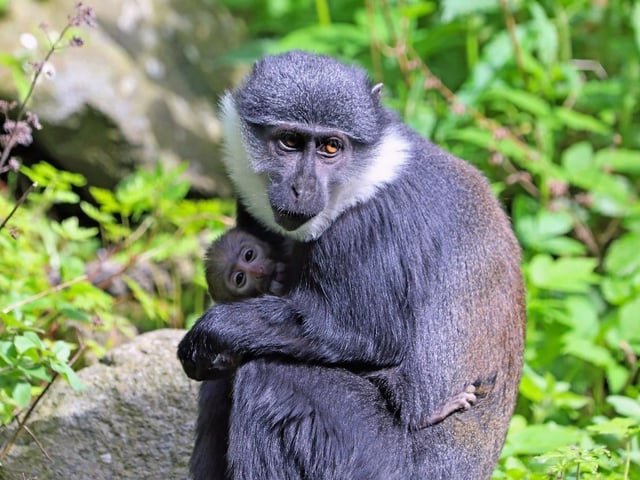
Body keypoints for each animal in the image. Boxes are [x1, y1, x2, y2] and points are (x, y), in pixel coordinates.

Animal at [178, 51, 525, 479]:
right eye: (289, 141)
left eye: (331, 147)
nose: (301, 188)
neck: (368, 170)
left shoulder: (367, 225)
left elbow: (367, 335)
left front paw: (212, 329)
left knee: (271, 372)